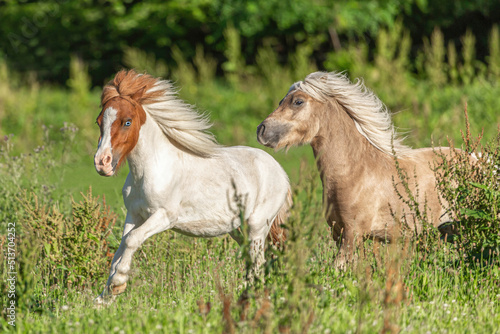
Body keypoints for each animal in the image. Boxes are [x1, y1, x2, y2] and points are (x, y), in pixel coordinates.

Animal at [93, 69, 292, 302]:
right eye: (99, 121)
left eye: (127, 121)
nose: (102, 163)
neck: (149, 172)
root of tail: (280, 171)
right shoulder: (134, 214)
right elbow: (121, 245)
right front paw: (104, 297)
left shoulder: (165, 217)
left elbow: (132, 240)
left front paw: (117, 284)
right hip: (238, 229)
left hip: (257, 227)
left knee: (258, 264)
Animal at [258, 71, 458, 268]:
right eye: (281, 101)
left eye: (298, 101)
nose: (261, 130)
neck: (354, 173)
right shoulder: (338, 233)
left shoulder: (352, 234)